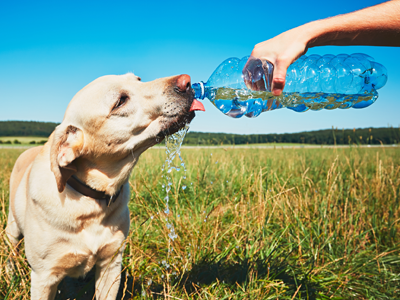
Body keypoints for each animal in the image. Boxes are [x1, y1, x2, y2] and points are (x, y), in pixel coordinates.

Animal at [5, 73, 205, 300]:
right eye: (120, 101)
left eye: (138, 79)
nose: (187, 81)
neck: (90, 201)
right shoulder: (44, 277)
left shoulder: (111, 265)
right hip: (12, 229)